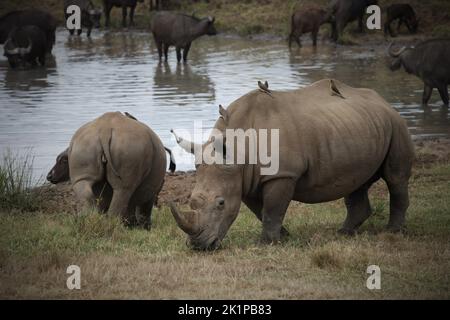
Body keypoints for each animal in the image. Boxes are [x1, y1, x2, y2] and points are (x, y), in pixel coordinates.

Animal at [47, 112, 176, 230]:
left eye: (64, 161)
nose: (49, 176)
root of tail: (105, 130)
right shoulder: (151, 190)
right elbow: (141, 208)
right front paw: (140, 227)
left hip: (84, 147)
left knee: (87, 187)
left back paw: (93, 221)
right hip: (127, 151)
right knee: (123, 191)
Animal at [170, 79, 414, 250]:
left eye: (220, 203)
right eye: (190, 201)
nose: (199, 246)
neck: (239, 151)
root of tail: (383, 100)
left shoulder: (282, 174)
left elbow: (272, 209)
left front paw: (267, 243)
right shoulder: (245, 178)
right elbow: (261, 210)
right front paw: (284, 237)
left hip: (396, 123)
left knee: (395, 178)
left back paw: (392, 232)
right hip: (360, 125)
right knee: (357, 181)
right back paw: (344, 233)